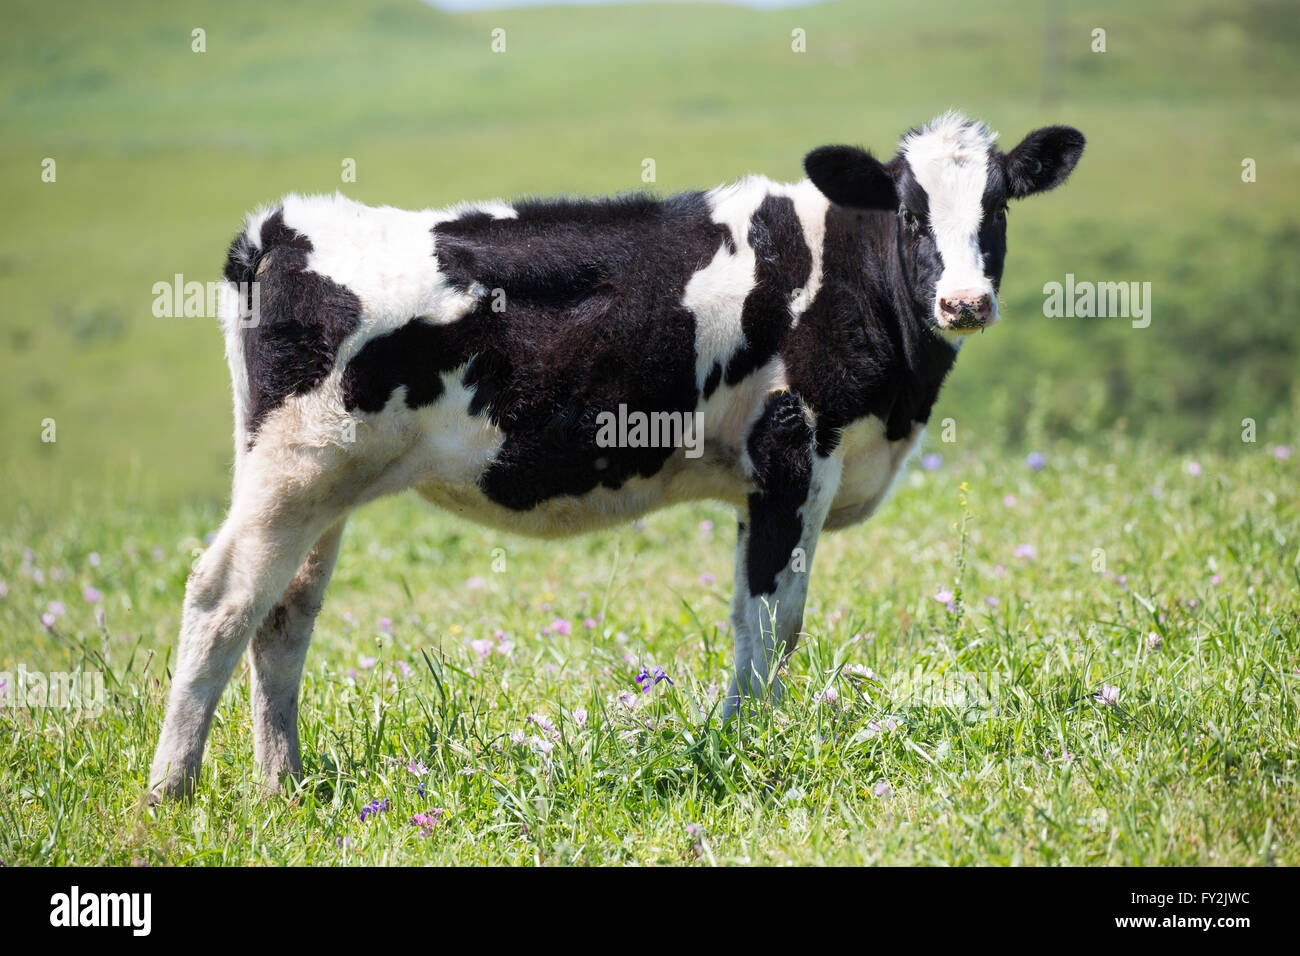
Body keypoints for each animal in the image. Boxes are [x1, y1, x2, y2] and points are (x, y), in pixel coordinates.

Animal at [149, 111, 1086, 801]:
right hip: (296, 469)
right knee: (223, 595)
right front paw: (755, 742)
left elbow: (748, 616)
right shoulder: (795, 450)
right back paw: (172, 790)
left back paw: (284, 785)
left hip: (324, 484)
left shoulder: (761, 482)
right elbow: (775, 620)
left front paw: (733, 737)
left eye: (998, 209)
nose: (965, 302)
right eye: (913, 213)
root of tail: (282, 227)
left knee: (285, 612)